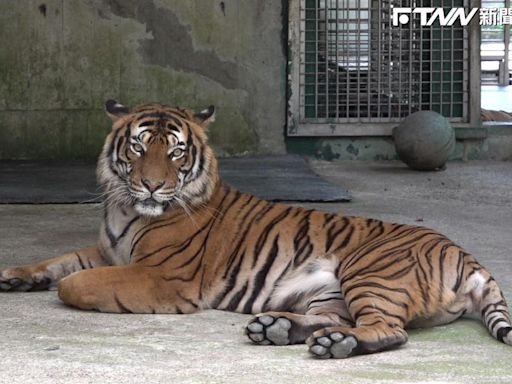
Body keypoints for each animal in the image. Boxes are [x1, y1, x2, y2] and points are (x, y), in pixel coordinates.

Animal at [1, 100, 512, 358]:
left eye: (175, 152)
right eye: (139, 147)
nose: (152, 184)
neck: (127, 210)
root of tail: (468, 256)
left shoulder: (164, 277)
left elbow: (75, 283)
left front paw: (61, 286)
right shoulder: (108, 250)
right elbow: (59, 260)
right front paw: (14, 275)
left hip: (370, 271)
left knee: (390, 330)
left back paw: (331, 344)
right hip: (329, 293)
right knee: (339, 319)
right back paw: (278, 329)